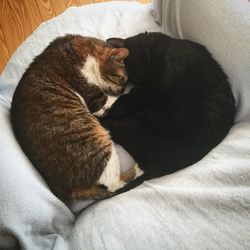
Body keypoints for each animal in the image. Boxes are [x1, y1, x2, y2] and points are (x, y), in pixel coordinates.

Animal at [10, 34, 143, 199]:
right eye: (122, 79)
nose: (122, 91)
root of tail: (67, 190)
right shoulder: (98, 102)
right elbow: (120, 101)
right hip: (100, 145)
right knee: (114, 185)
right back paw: (139, 169)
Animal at [99, 32, 234, 190]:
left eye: (131, 75)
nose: (137, 82)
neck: (155, 48)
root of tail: (156, 169)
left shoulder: (161, 84)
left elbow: (138, 97)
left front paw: (119, 105)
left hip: (135, 124)